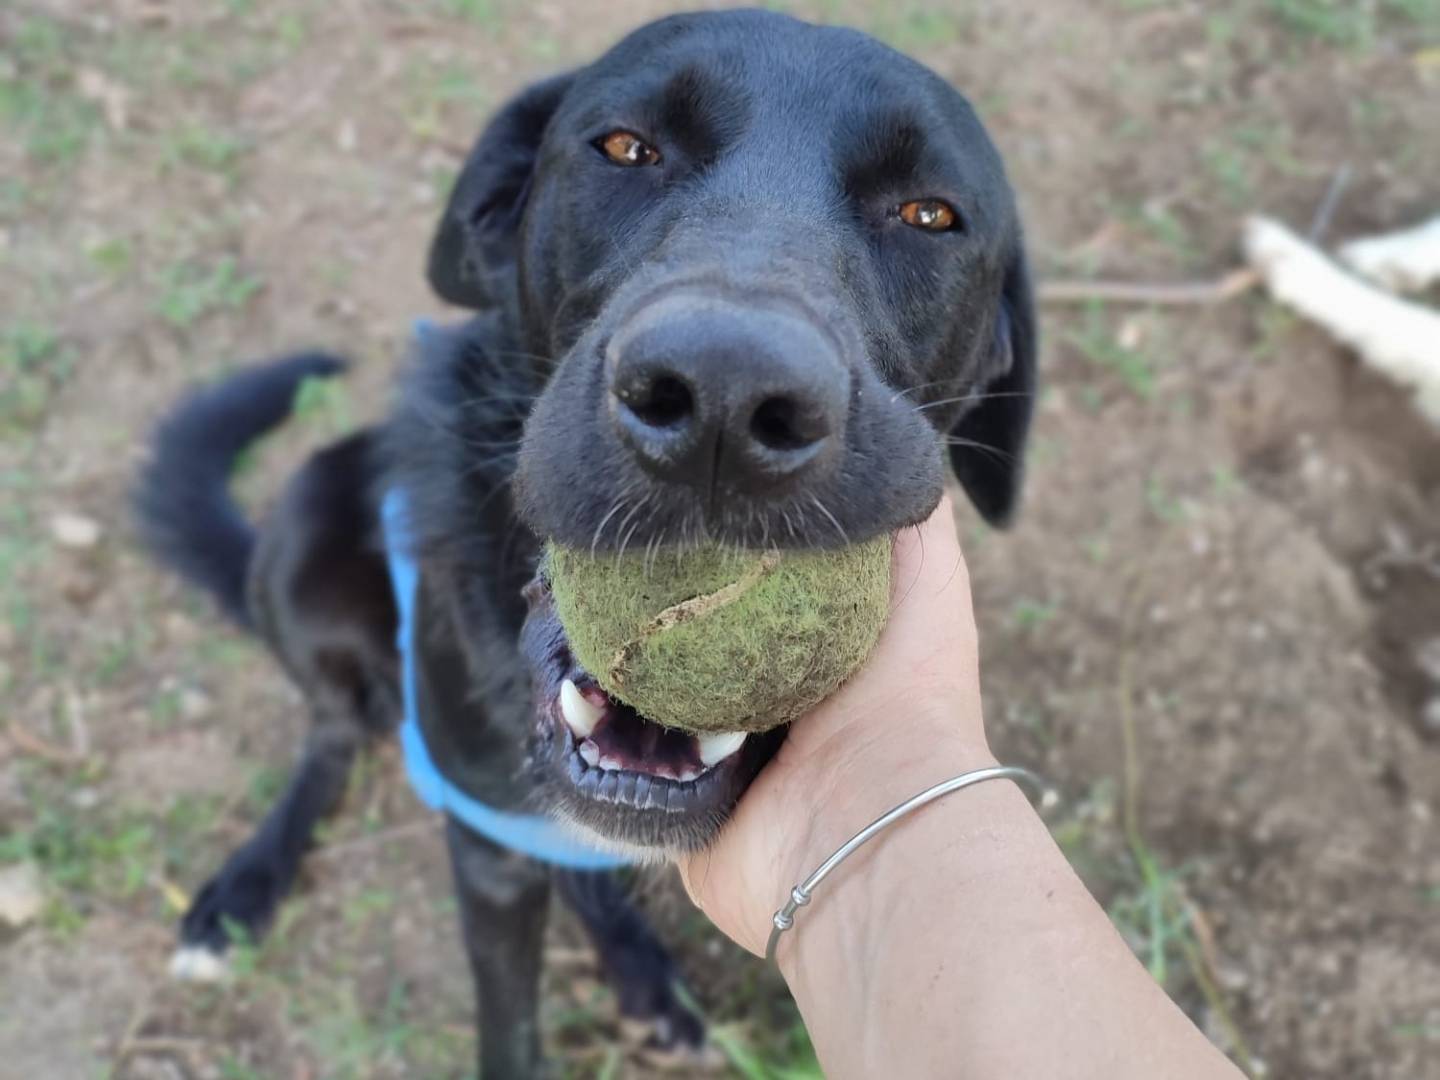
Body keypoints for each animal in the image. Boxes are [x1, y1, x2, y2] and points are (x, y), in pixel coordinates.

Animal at [135, 10, 1036, 1080]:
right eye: (625, 148)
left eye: (929, 215)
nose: (723, 402)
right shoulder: (484, 844)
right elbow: (512, 1027)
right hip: (308, 529)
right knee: (332, 728)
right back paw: (248, 883)